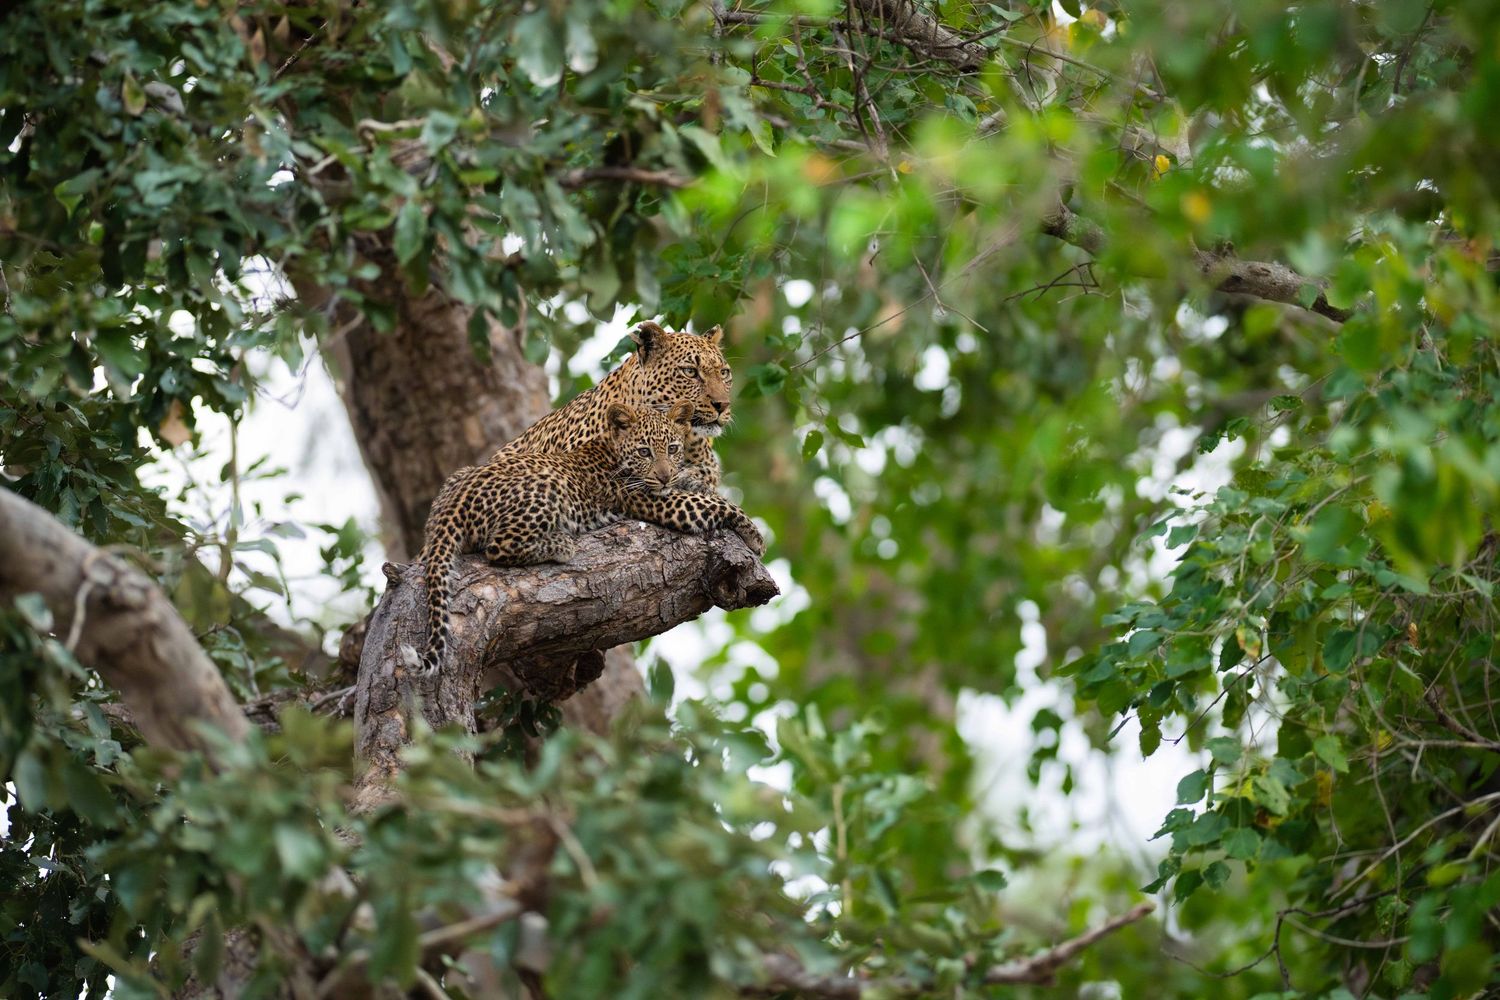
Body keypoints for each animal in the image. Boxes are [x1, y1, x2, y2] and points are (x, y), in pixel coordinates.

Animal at [418, 401, 764, 676]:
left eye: (673, 448)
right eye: (644, 451)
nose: (664, 476)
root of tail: (454, 504)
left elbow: (700, 490)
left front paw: (693, 480)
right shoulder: (656, 502)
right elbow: (714, 504)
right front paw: (755, 535)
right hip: (549, 486)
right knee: (499, 546)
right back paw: (560, 543)